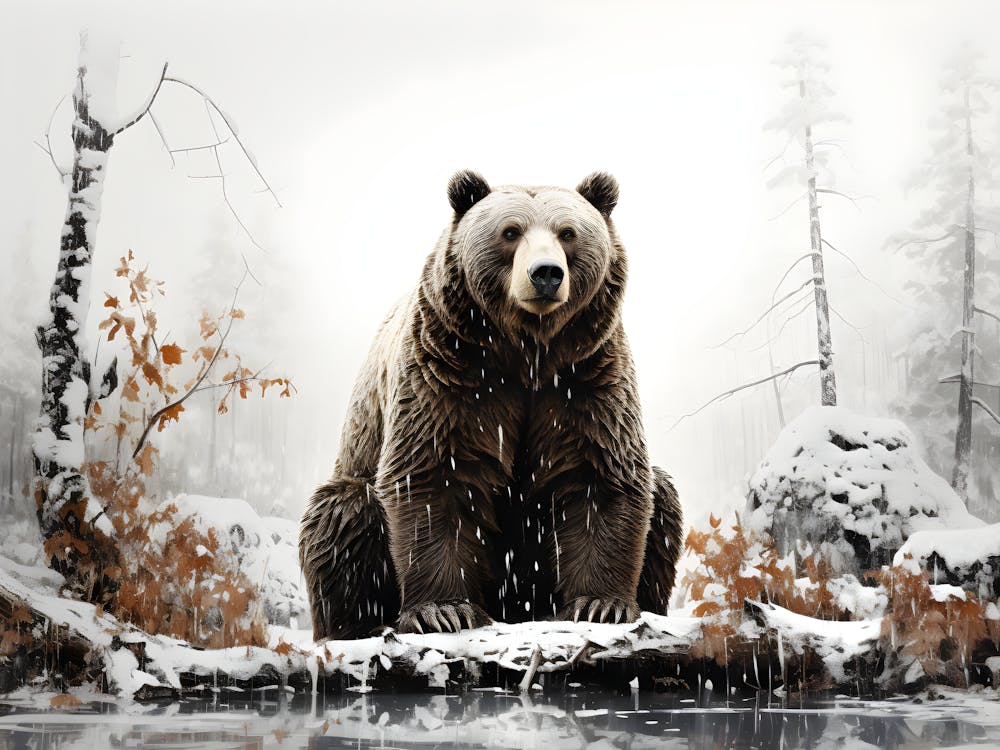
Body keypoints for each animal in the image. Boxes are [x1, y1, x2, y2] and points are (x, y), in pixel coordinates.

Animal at [299, 171, 683, 639]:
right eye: (510, 232)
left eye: (568, 233)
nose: (546, 274)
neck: (526, 350)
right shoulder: (449, 369)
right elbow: (431, 474)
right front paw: (444, 611)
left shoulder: (587, 374)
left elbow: (600, 473)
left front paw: (599, 605)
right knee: (343, 514)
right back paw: (358, 625)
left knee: (663, 497)